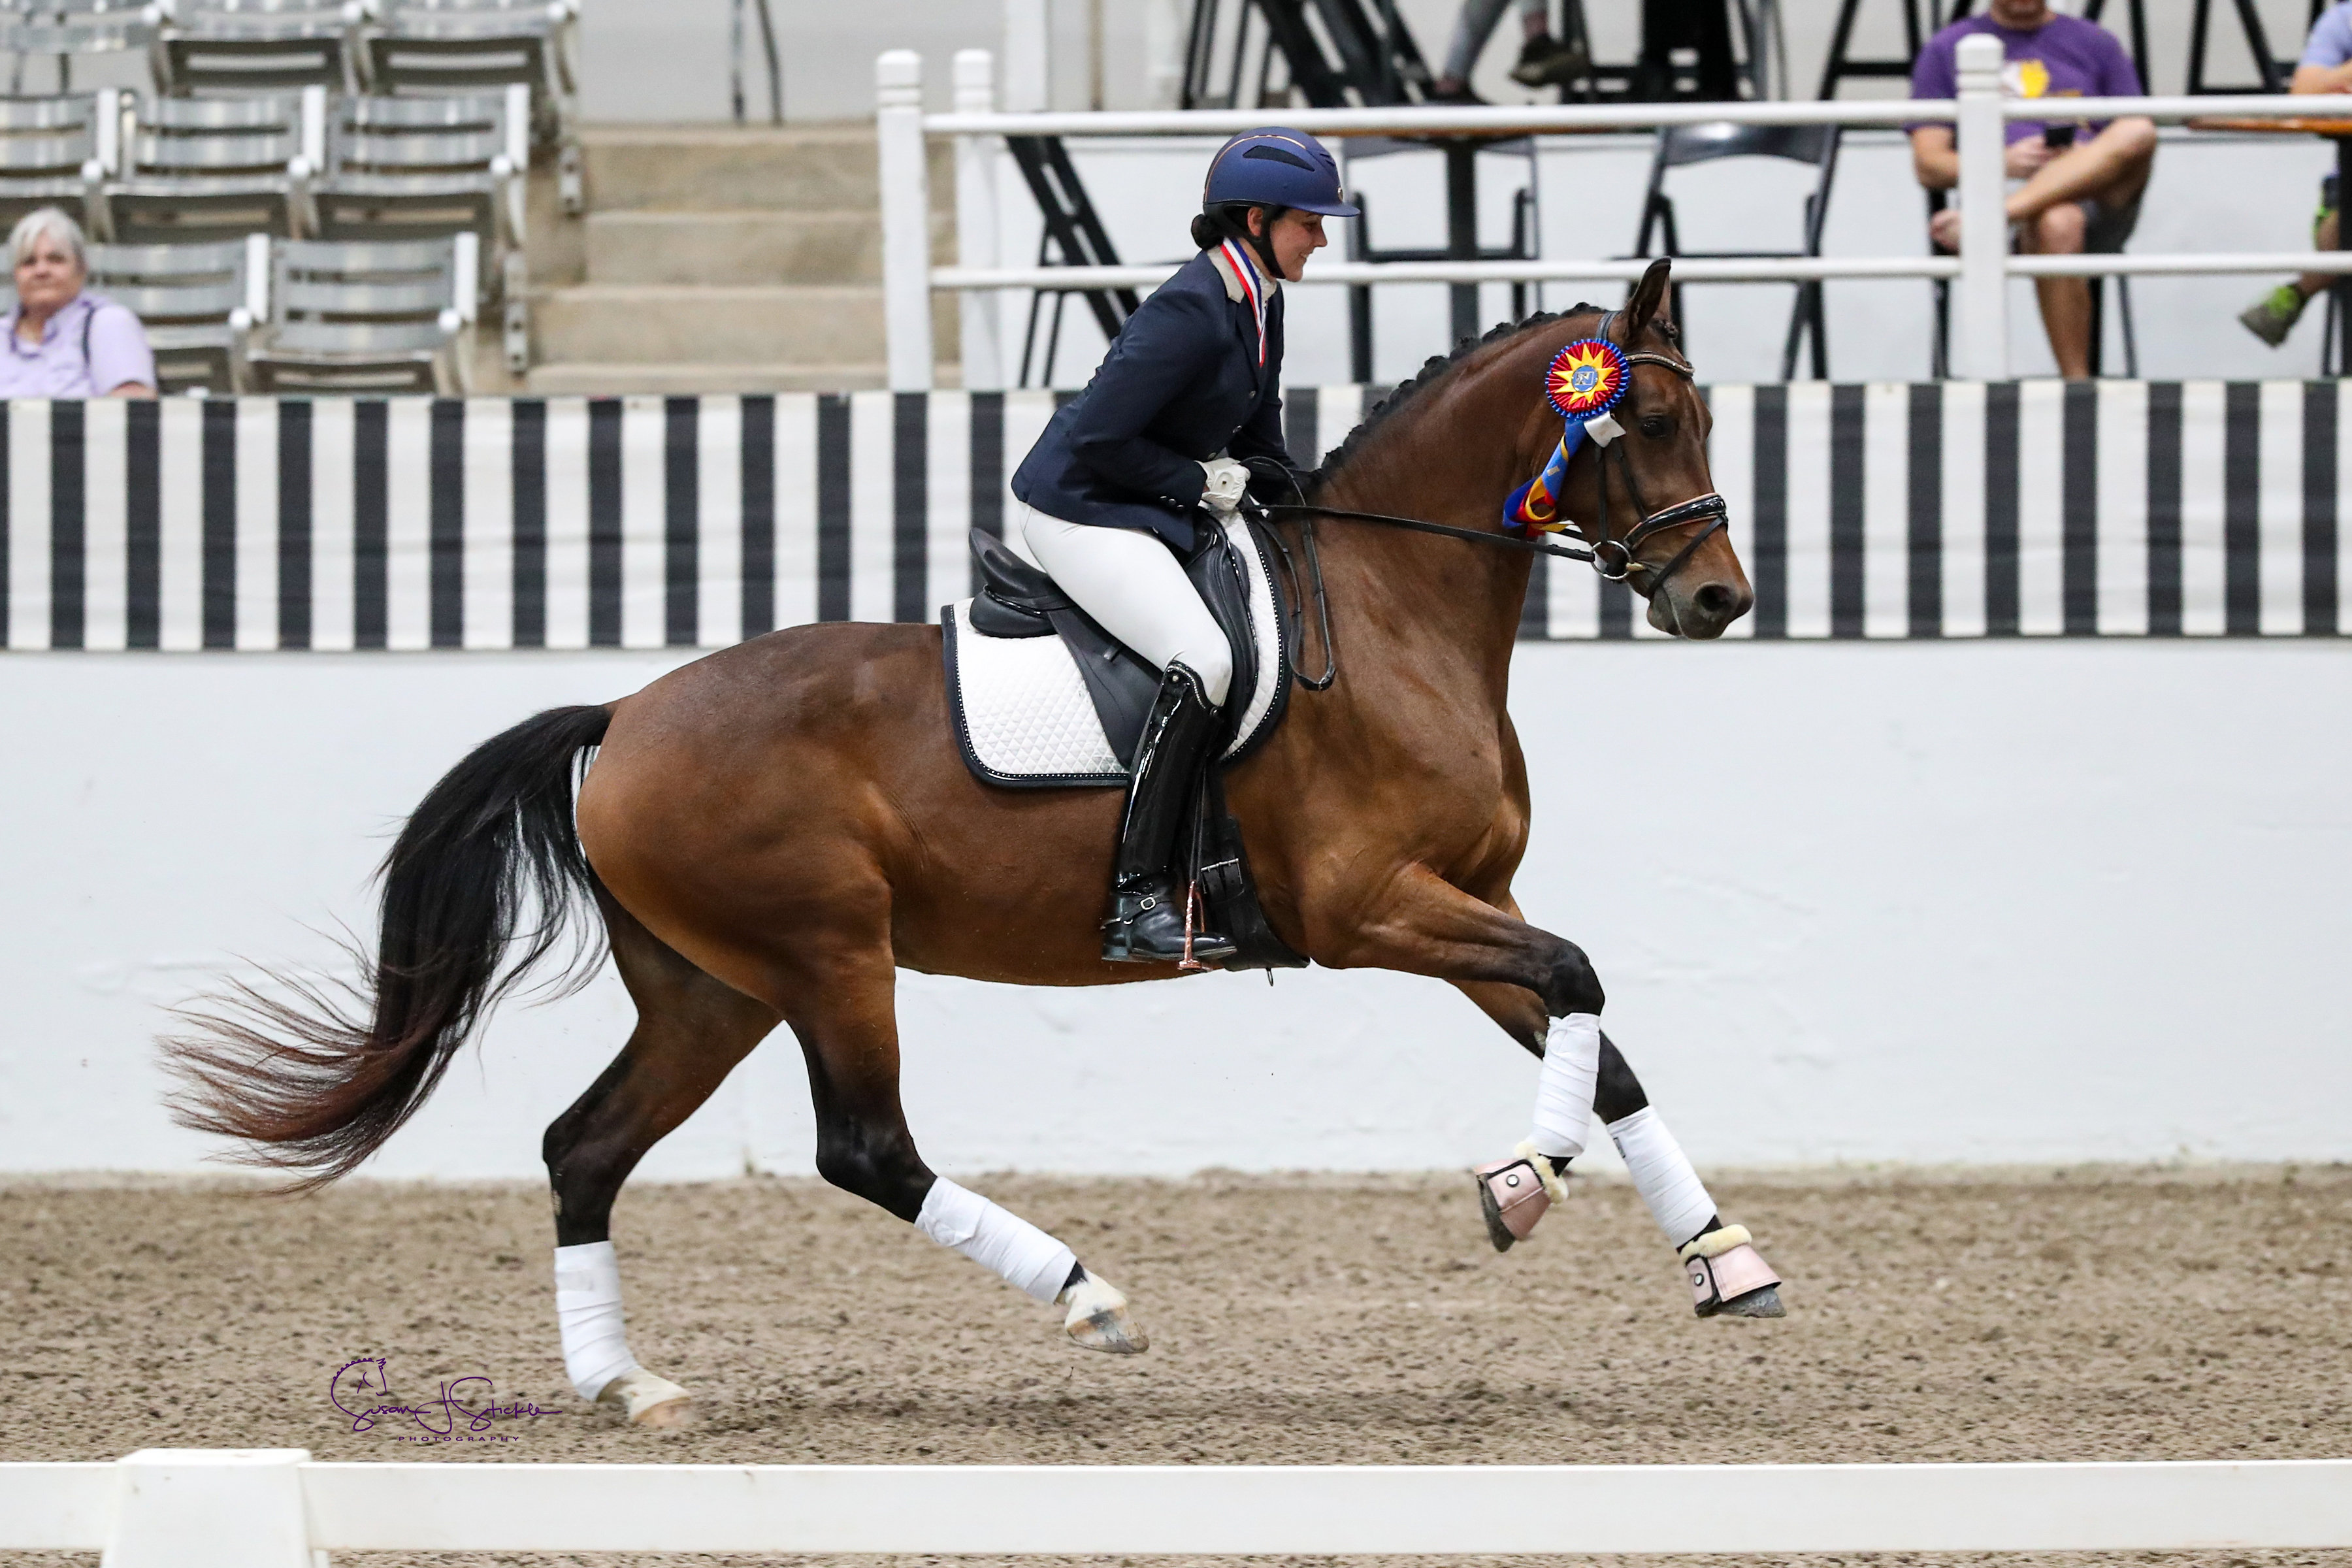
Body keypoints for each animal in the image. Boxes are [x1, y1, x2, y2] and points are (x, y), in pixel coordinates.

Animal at [165, 261, 1750, 1439]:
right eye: (1647, 424)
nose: (1721, 600)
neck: (1389, 609)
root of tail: (621, 717)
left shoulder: (1464, 899)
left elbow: (1597, 1036)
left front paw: (1727, 1262)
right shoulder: (1372, 909)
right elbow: (1579, 980)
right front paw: (1521, 1190)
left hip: (710, 990)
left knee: (586, 1147)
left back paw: (629, 1382)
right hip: (826, 956)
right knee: (863, 1147)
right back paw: (1088, 1299)